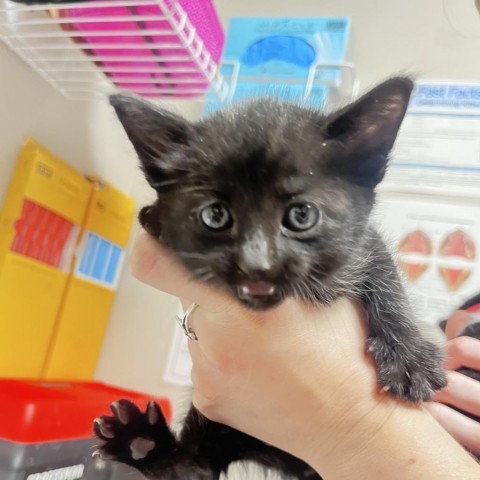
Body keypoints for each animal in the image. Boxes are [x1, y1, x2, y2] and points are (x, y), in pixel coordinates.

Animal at [94, 77, 446, 478]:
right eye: (214, 215)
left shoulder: (365, 243)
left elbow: (386, 276)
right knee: (193, 467)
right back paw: (141, 442)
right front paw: (156, 218)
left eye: (302, 215)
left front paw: (409, 358)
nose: (257, 264)